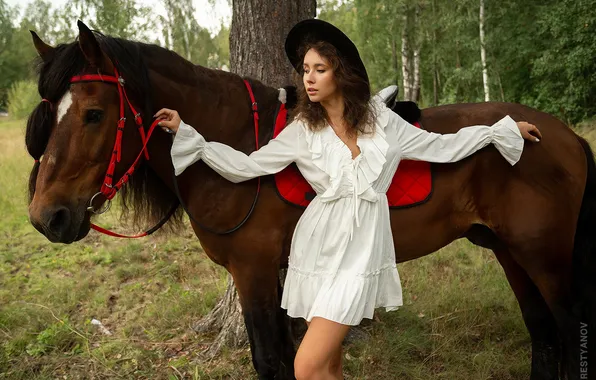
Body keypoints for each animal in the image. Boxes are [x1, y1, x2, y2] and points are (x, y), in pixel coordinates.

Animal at [26, 22, 596, 378]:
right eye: (50, 110)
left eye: (94, 113)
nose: (47, 216)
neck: (238, 141)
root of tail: (562, 136)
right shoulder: (272, 276)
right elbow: (285, 352)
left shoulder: (254, 272)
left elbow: (269, 359)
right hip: (509, 252)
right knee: (543, 335)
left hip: (544, 256)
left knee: (568, 330)